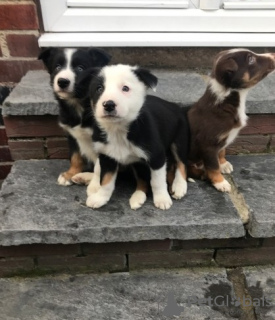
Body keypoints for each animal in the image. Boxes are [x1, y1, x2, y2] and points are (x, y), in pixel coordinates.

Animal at [39, 48, 112, 186]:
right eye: (57, 67)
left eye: (80, 68)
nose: (62, 81)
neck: (79, 105)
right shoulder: (72, 135)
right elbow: (75, 156)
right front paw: (70, 174)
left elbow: (99, 167)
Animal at [82, 64, 190, 210]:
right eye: (99, 88)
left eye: (125, 88)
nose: (109, 104)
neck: (118, 130)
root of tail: (173, 104)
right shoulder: (107, 157)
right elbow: (106, 180)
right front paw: (100, 198)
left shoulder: (156, 156)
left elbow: (157, 181)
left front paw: (162, 198)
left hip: (180, 139)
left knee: (181, 162)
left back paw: (179, 186)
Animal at [188, 48, 275, 191]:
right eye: (251, 59)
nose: (273, 54)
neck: (227, 100)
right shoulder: (208, 145)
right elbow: (213, 166)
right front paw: (220, 182)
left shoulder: (222, 138)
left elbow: (222, 151)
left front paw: (223, 164)